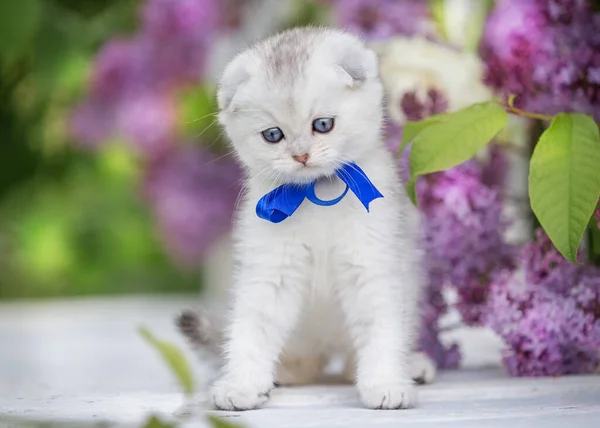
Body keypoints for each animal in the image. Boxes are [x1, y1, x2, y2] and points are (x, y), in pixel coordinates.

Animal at [209, 27, 428, 412]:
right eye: (273, 135)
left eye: (323, 125)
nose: (301, 155)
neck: (318, 194)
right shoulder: (271, 270)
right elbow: (253, 327)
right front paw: (241, 385)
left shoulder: (372, 264)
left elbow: (381, 327)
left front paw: (386, 383)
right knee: (307, 362)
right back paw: (285, 373)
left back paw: (410, 366)